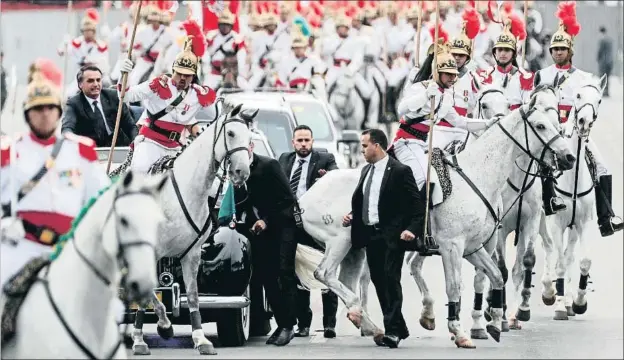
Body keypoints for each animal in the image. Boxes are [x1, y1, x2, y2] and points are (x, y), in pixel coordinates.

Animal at [127, 102, 256, 356]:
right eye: (230, 133)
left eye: (250, 137)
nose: (242, 173)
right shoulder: (152, 251)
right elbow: (148, 294)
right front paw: (149, 334)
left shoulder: (193, 254)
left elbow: (194, 297)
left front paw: (201, 339)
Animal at [298, 83, 576, 348]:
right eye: (540, 125)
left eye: (556, 121)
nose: (569, 157)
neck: (477, 174)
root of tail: (304, 200)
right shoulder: (452, 247)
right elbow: (454, 287)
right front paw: (460, 332)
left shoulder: (473, 248)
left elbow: (496, 276)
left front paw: (496, 322)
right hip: (340, 240)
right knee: (324, 274)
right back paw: (365, 317)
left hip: (354, 249)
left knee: (346, 279)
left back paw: (369, 324)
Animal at [540, 75, 608, 320]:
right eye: (578, 95)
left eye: (599, 99)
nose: (584, 122)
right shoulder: (556, 223)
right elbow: (559, 262)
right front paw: (559, 304)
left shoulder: (582, 222)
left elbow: (582, 261)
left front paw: (578, 301)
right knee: (549, 249)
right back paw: (549, 292)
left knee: (567, 255)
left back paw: (568, 300)